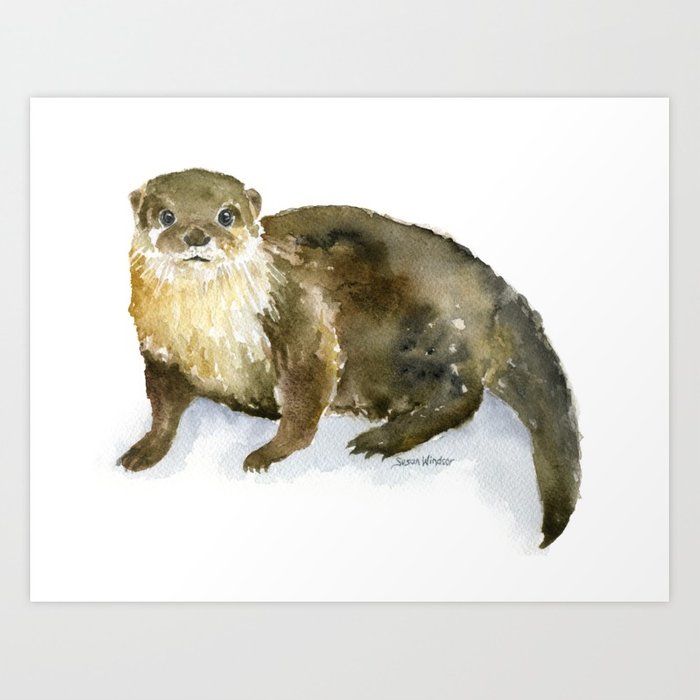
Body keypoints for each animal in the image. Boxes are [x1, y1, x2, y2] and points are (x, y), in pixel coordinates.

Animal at [119, 168, 581, 547]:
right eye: (166, 216)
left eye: (226, 215)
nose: (197, 235)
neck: (208, 334)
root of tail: (491, 290)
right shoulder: (158, 348)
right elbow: (163, 405)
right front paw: (144, 448)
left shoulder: (300, 317)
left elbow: (304, 398)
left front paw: (269, 452)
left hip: (413, 340)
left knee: (463, 394)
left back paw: (382, 438)